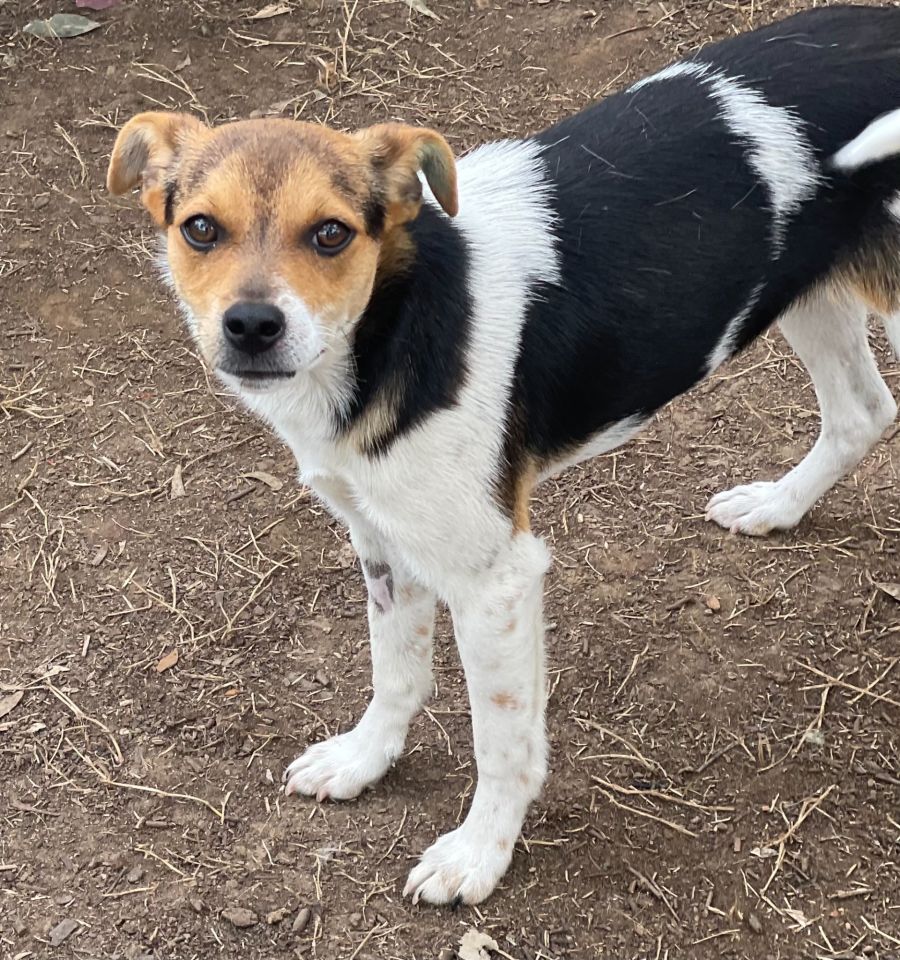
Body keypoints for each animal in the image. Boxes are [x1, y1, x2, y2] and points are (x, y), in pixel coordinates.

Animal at [108, 4, 900, 905]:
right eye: (200, 228)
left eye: (332, 233)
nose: (251, 327)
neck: (397, 326)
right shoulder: (384, 539)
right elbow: (395, 670)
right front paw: (364, 760)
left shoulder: (496, 580)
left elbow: (502, 741)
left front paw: (479, 852)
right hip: (797, 289)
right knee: (861, 411)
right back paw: (776, 506)